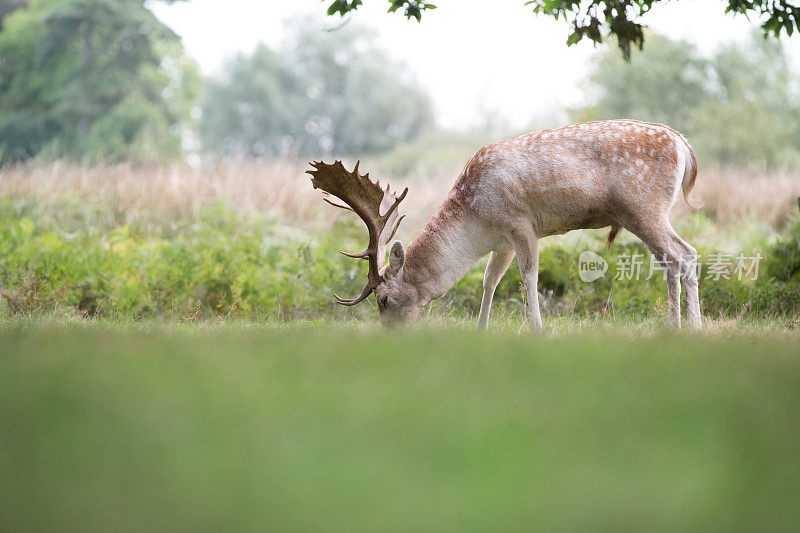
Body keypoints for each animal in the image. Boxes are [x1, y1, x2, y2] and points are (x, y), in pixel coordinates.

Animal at [306, 119, 700, 328]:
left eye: (384, 299)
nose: (388, 335)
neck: (476, 220)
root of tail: (684, 145)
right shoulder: (501, 242)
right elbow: (489, 280)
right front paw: (480, 331)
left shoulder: (520, 222)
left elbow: (529, 276)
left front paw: (537, 329)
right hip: (648, 213)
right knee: (680, 257)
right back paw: (683, 326)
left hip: (643, 209)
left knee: (682, 255)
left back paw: (685, 327)